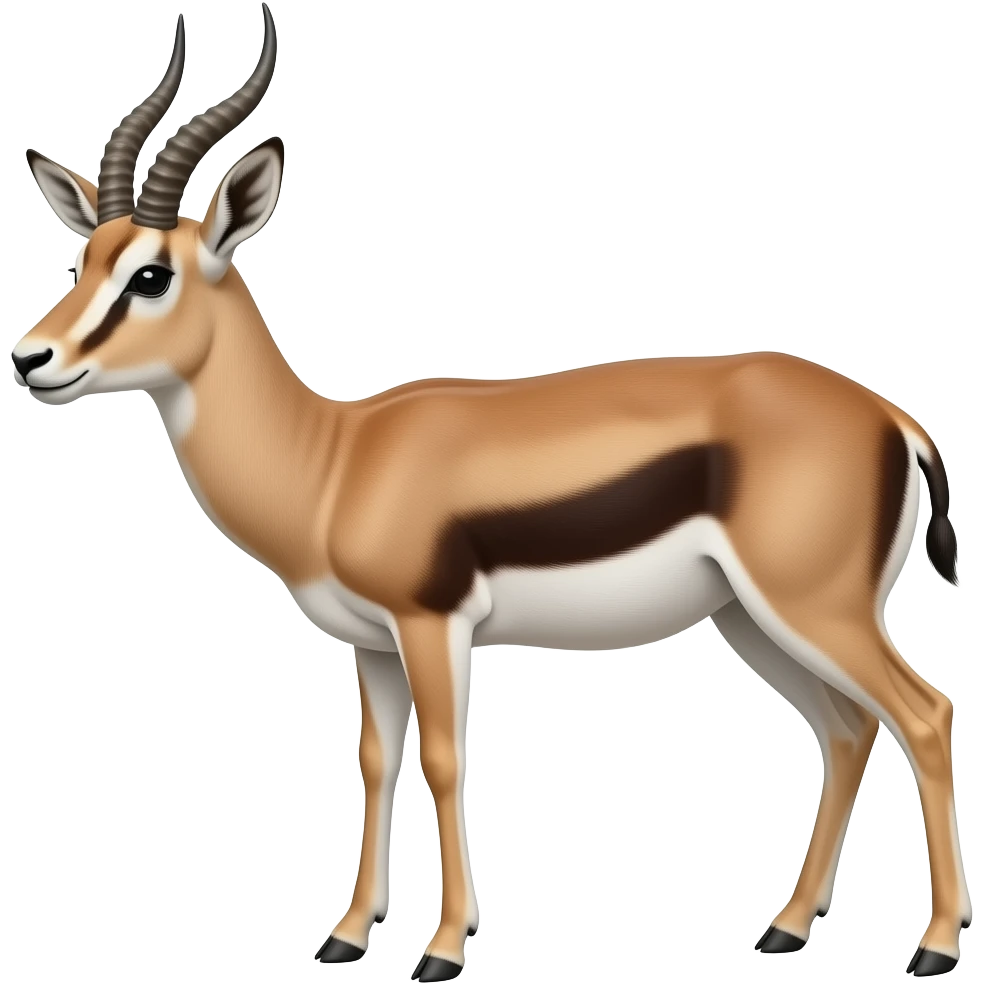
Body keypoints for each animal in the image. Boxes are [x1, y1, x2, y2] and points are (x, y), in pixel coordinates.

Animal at [12, 7, 972, 982]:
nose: (31, 358)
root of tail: (892, 416)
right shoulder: (373, 643)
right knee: (848, 730)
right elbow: (375, 760)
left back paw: (933, 946)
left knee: (926, 713)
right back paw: (787, 928)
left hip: (815, 608)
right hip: (751, 617)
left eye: (151, 275)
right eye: (83, 257)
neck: (334, 462)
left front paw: (442, 949)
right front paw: (347, 936)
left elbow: (445, 760)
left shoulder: (433, 625)